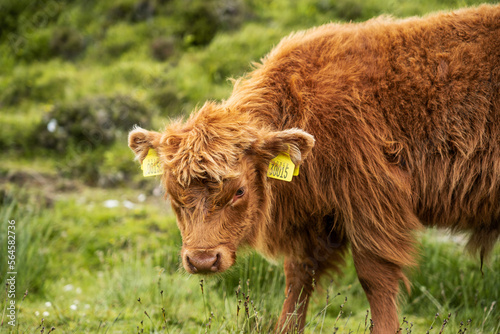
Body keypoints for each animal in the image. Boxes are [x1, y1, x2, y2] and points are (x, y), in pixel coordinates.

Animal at [130, 5, 500, 334]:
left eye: (239, 191)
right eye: (171, 194)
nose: (203, 260)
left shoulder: (372, 205)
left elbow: (374, 278)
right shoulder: (315, 220)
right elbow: (297, 279)